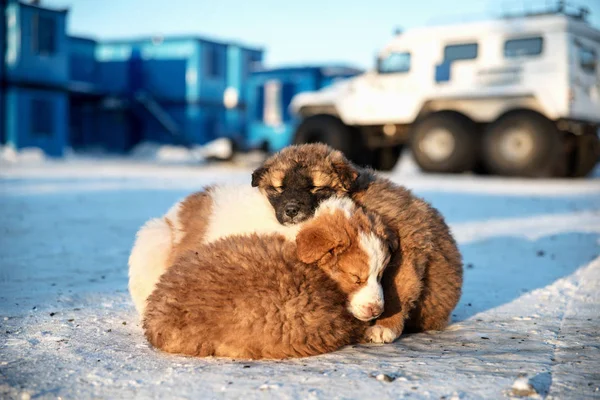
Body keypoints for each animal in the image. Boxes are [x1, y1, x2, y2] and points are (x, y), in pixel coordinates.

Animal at [250, 144, 464, 344]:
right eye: (279, 188)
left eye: (316, 187)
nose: (291, 210)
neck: (354, 196)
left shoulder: (408, 245)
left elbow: (395, 292)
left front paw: (385, 326)